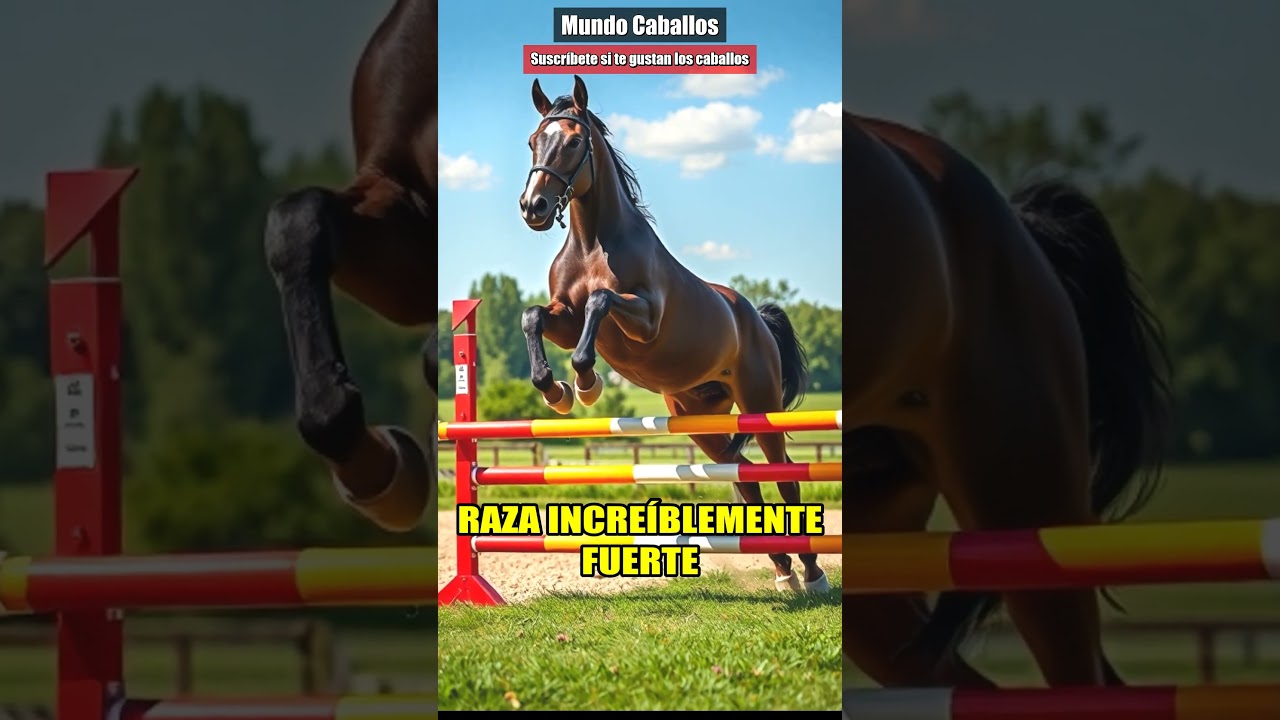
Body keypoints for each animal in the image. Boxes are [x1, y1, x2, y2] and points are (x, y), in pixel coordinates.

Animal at [516, 75, 828, 594]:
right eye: (533, 141)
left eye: (575, 142)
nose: (533, 207)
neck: (592, 243)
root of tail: (757, 319)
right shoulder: (564, 319)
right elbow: (533, 316)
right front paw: (556, 390)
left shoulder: (644, 320)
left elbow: (601, 303)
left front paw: (585, 382)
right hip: (701, 420)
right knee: (744, 476)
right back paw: (783, 569)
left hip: (761, 405)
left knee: (784, 477)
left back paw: (812, 573)